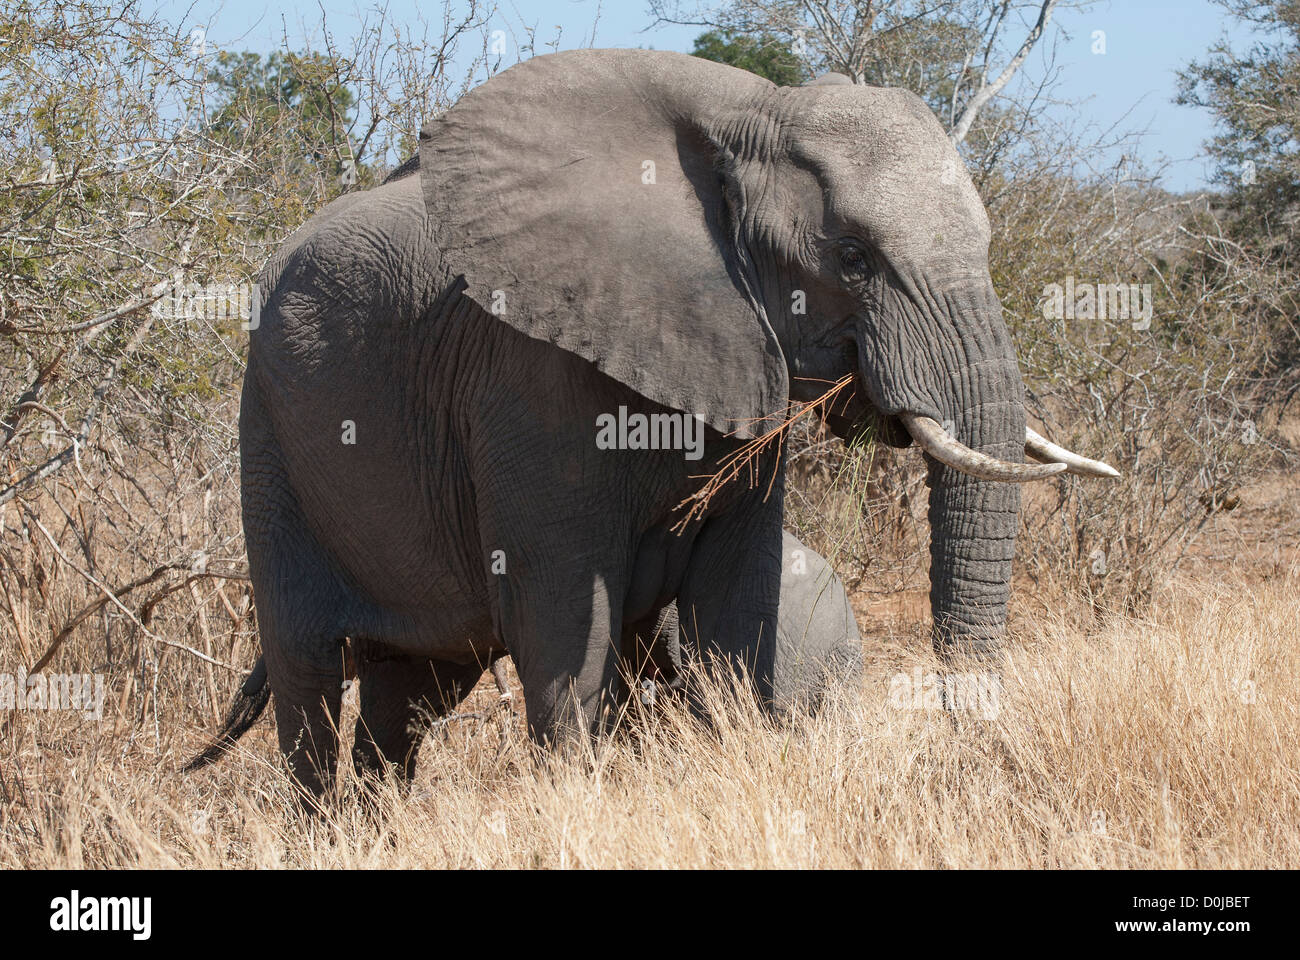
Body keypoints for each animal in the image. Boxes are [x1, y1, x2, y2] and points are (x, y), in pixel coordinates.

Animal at [218, 48, 1112, 796]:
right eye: (852, 257)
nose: (972, 760)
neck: (751, 113)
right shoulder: (527, 373)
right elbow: (562, 621)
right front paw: (576, 806)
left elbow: (737, 599)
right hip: (268, 434)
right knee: (309, 674)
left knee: (410, 692)